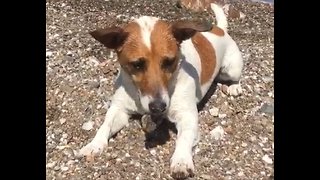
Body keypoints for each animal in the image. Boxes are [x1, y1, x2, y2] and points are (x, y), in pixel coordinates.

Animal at [79, 2, 242, 179]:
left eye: (169, 61)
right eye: (137, 64)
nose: (158, 107)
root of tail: (220, 30)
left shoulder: (187, 116)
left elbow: (184, 138)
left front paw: (181, 160)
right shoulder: (119, 109)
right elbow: (105, 125)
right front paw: (94, 144)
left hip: (231, 69)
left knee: (235, 76)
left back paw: (234, 86)